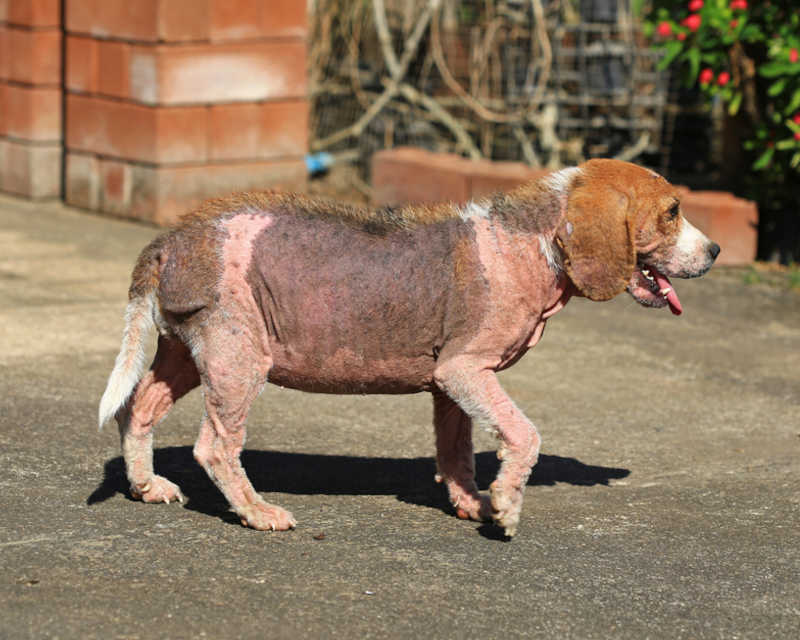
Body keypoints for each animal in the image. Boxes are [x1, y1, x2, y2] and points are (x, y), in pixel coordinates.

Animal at [98, 159, 720, 536]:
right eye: (671, 212)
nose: (714, 252)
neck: (538, 241)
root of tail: (168, 240)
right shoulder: (468, 371)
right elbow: (524, 434)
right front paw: (508, 507)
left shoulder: (450, 383)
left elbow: (457, 451)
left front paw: (474, 503)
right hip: (237, 360)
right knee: (215, 446)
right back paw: (255, 511)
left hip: (185, 354)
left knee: (137, 410)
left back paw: (146, 485)